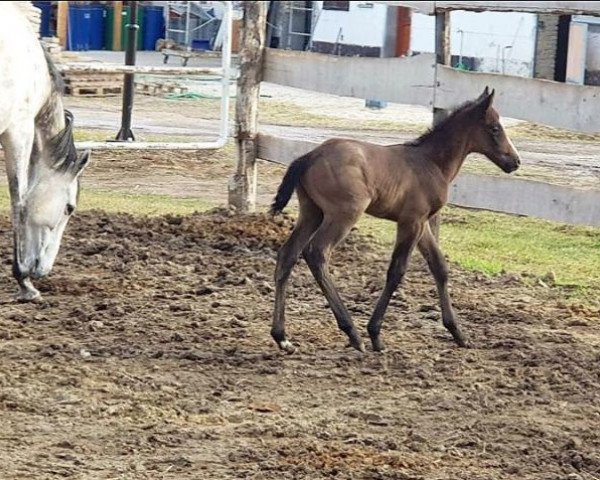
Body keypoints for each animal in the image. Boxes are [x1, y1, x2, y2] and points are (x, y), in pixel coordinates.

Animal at [270, 88, 520, 354]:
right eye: (495, 128)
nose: (515, 161)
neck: (431, 163)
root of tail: (310, 155)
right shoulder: (411, 222)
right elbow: (396, 271)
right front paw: (375, 334)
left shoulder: (422, 223)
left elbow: (439, 267)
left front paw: (458, 333)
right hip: (344, 214)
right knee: (317, 252)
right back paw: (353, 333)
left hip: (312, 213)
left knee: (288, 254)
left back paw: (282, 337)